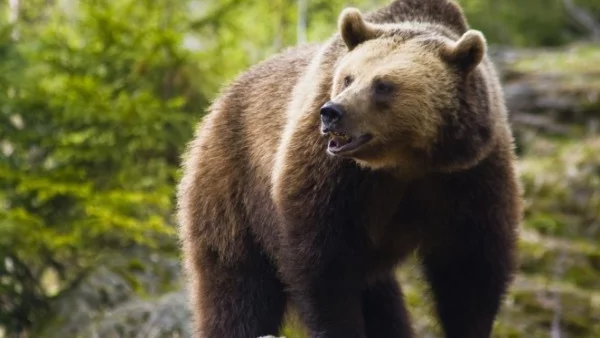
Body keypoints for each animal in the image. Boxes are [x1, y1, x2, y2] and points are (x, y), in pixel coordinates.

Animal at [177, 0, 520, 338]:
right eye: (348, 77)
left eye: (383, 85)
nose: (332, 112)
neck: (404, 162)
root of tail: (221, 99)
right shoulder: (332, 175)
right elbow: (323, 265)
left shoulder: (467, 174)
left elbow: (469, 265)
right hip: (232, 184)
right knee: (237, 283)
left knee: (382, 300)